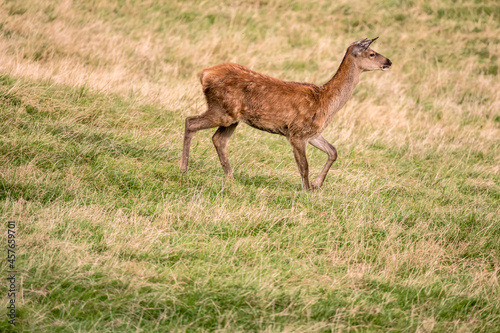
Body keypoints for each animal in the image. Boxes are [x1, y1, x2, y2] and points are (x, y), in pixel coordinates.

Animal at [180, 37, 390, 189]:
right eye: (372, 53)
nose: (389, 61)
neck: (326, 101)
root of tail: (204, 74)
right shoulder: (297, 133)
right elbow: (304, 166)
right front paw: (307, 189)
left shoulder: (313, 133)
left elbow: (333, 151)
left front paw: (316, 184)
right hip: (223, 111)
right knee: (191, 121)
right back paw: (183, 168)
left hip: (232, 117)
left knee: (218, 140)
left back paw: (231, 178)